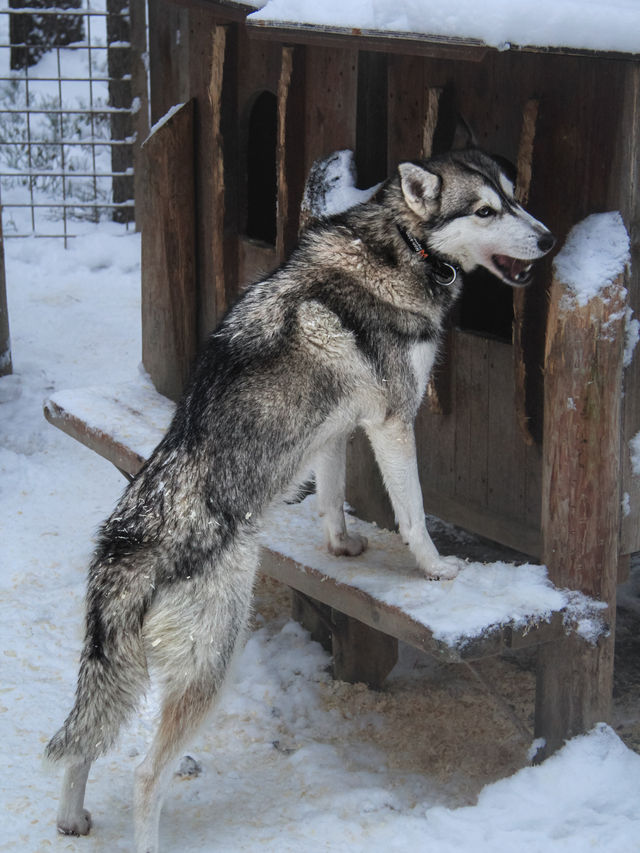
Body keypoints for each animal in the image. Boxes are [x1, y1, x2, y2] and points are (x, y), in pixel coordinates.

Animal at [46, 150, 556, 848]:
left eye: (514, 197)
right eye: (484, 210)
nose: (549, 239)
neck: (403, 245)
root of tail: (126, 549)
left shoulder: (338, 426)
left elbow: (333, 497)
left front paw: (341, 546)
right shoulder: (394, 422)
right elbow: (414, 514)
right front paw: (436, 568)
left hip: (118, 674)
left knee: (81, 745)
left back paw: (72, 819)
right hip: (211, 665)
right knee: (147, 776)